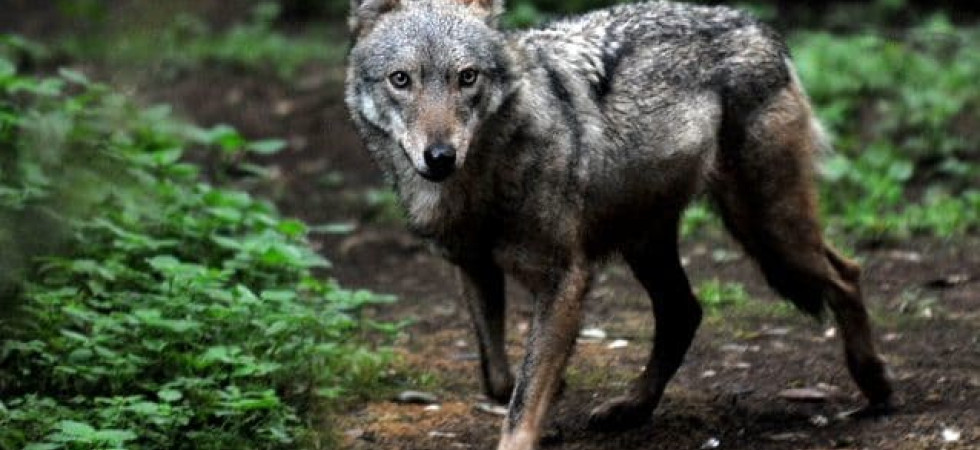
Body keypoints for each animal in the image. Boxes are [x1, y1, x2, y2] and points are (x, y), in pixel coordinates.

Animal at [344, 1, 894, 448]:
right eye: (401, 80)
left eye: (467, 77)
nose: (439, 157)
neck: (481, 184)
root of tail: (756, 26)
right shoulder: (473, 268)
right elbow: (500, 380)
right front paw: (553, 399)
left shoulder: (565, 281)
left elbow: (523, 400)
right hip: (652, 242)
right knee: (684, 312)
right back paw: (631, 408)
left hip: (766, 230)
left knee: (847, 274)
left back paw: (877, 386)